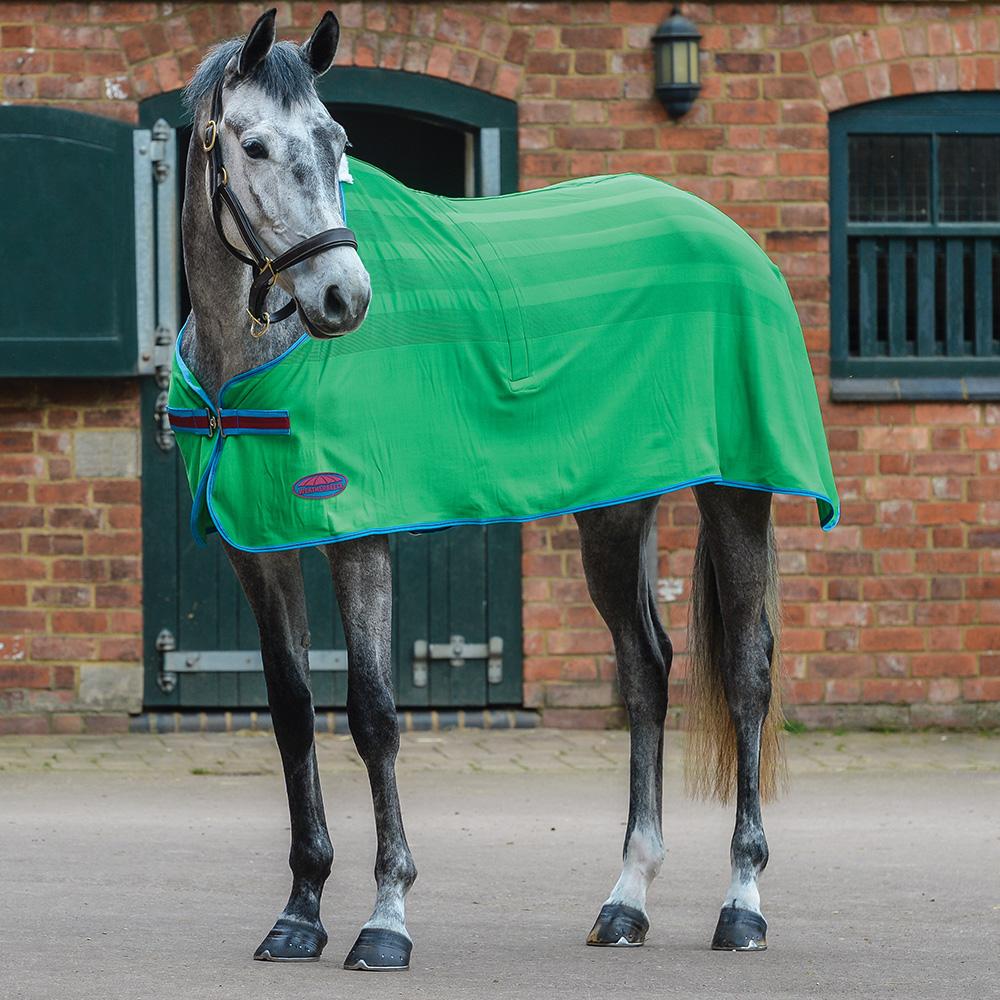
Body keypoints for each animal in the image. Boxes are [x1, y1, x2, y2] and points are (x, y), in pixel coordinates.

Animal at [176, 7, 826, 970]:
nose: (344, 297)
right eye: (252, 146)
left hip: (737, 497)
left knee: (746, 675)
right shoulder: (259, 549)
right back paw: (626, 901)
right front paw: (298, 914)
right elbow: (293, 713)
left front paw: (385, 920)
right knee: (646, 670)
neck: (252, 355)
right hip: (614, 509)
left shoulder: (358, 535)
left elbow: (373, 715)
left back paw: (741, 904)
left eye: (339, 144)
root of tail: (724, 229)